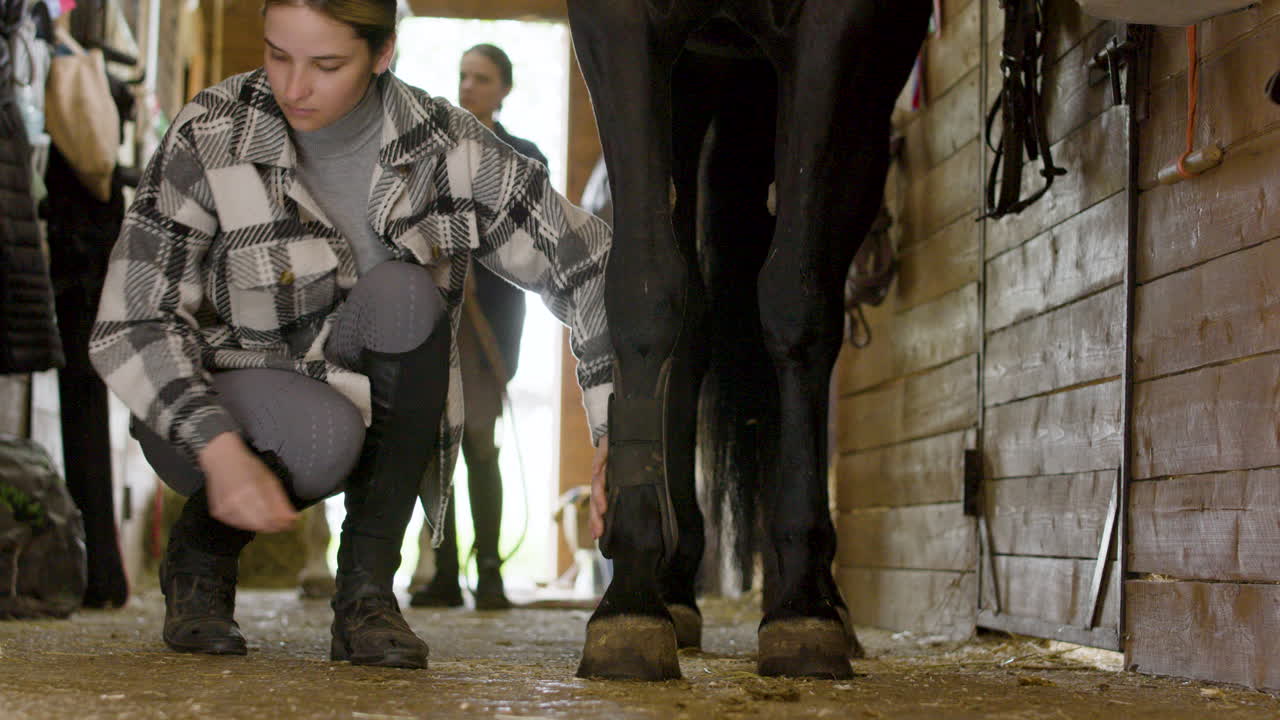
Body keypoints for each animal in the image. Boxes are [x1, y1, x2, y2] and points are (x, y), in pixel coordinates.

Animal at [568, 0, 933, 680]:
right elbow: (644, 287)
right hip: (702, 91)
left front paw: (801, 609)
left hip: (849, 110)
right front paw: (630, 600)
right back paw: (674, 587)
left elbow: (796, 300)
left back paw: (819, 598)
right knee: (693, 317)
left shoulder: (838, 29)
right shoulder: (618, 22)